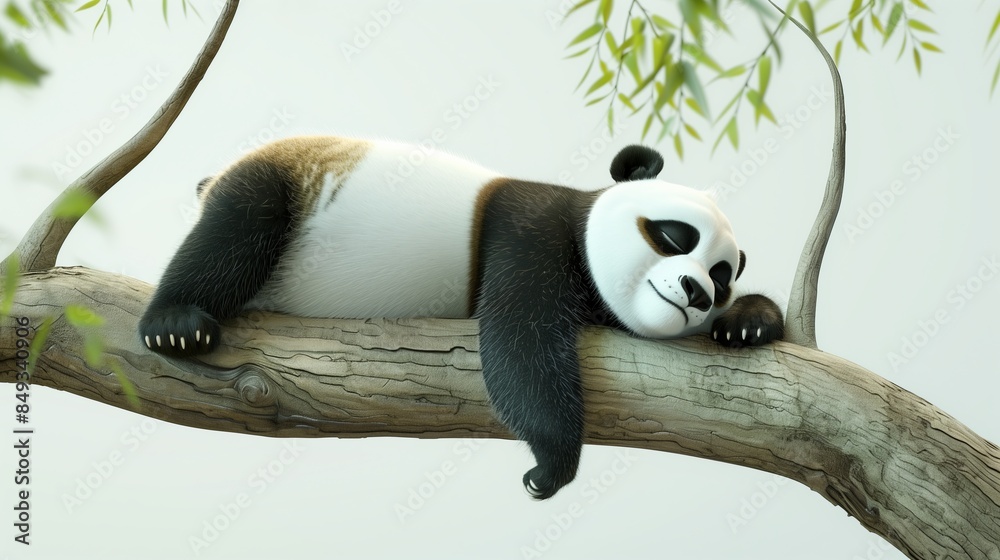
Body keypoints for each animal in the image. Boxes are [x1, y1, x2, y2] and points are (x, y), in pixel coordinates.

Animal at [139, 136, 784, 500]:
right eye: (674, 235)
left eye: (722, 276)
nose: (696, 293)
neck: (581, 220)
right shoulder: (531, 235)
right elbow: (520, 342)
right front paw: (551, 466)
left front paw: (749, 320)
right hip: (285, 182)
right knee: (234, 232)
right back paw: (175, 323)